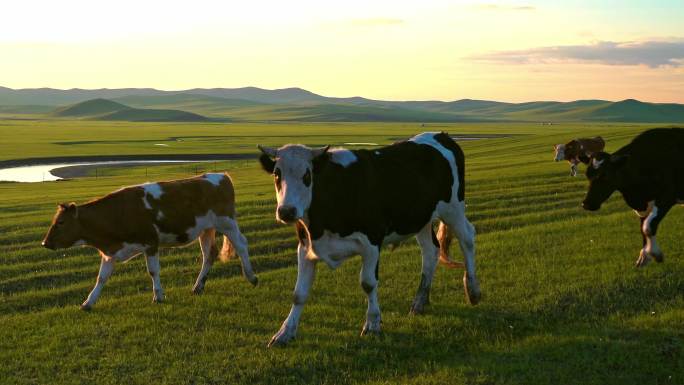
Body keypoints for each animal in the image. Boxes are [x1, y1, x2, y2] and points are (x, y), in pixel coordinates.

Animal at [42, 172, 256, 308]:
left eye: (61, 222)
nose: (45, 243)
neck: (117, 214)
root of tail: (221, 175)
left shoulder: (151, 243)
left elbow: (153, 271)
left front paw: (158, 296)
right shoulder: (110, 252)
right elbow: (101, 277)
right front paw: (88, 302)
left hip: (226, 222)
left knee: (241, 244)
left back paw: (251, 276)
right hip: (206, 229)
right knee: (209, 255)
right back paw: (198, 287)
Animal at [258, 131, 480, 344]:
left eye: (307, 175)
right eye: (277, 174)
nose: (287, 211)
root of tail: (442, 135)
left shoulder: (372, 241)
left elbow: (368, 283)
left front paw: (372, 324)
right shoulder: (306, 246)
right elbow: (299, 294)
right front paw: (285, 332)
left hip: (453, 208)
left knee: (467, 237)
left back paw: (473, 291)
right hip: (421, 218)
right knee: (430, 251)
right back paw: (419, 302)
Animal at [584, 127, 684, 266]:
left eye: (604, 175)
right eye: (587, 174)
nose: (586, 204)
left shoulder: (667, 196)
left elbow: (648, 227)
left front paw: (655, 254)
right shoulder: (642, 205)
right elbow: (643, 228)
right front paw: (644, 257)